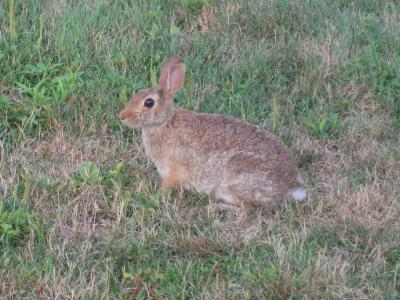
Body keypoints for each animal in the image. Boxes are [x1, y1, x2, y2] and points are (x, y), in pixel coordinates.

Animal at [119, 55, 306, 213]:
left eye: (149, 103)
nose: (122, 116)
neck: (164, 123)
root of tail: (291, 186)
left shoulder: (174, 171)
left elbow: (166, 187)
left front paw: (152, 197)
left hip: (236, 180)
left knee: (250, 209)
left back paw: (216, 207)